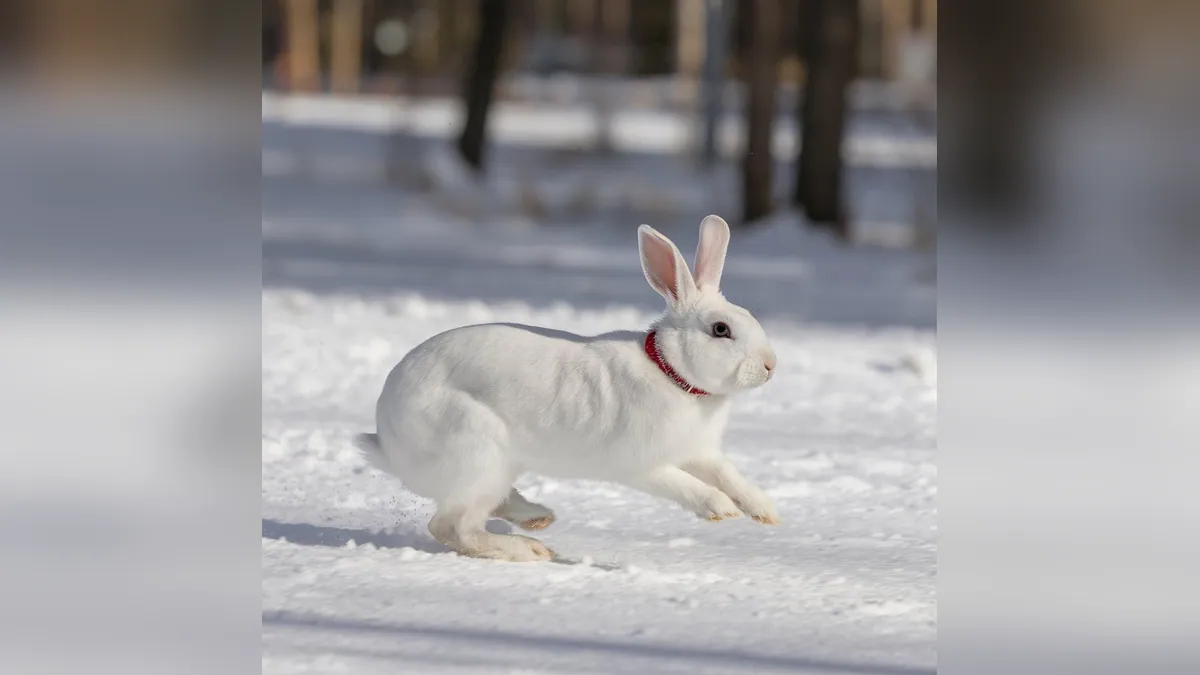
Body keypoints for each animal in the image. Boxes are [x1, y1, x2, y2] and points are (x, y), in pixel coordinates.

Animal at [355, 215, 779, 562]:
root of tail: (388, 438)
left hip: (497, 466)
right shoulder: (640, 465)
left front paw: (766, 511)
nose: (770, 366)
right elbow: (687, 485)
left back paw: (538, 518)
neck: (670, 373)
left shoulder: (699, 452)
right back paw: (530, 549)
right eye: (721, 329)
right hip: (476, 451)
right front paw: (720, 509)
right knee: (451, 526)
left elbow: (729, 474)